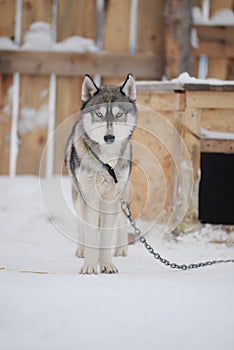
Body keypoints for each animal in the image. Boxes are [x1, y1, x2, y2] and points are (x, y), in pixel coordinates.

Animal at [64, 75, 137, 274]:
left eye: (119, 115)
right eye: (99, 114)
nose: (109, 137)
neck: (107, 162)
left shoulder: (112, 199)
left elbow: (105, 236)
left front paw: (106, 265)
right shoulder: (89, 197)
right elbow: (90, 233)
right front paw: (89, 265)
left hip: (123, 193)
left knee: (122, 219)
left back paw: (121, 249)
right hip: (78, 196)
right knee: (81, 223)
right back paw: (81, 250)